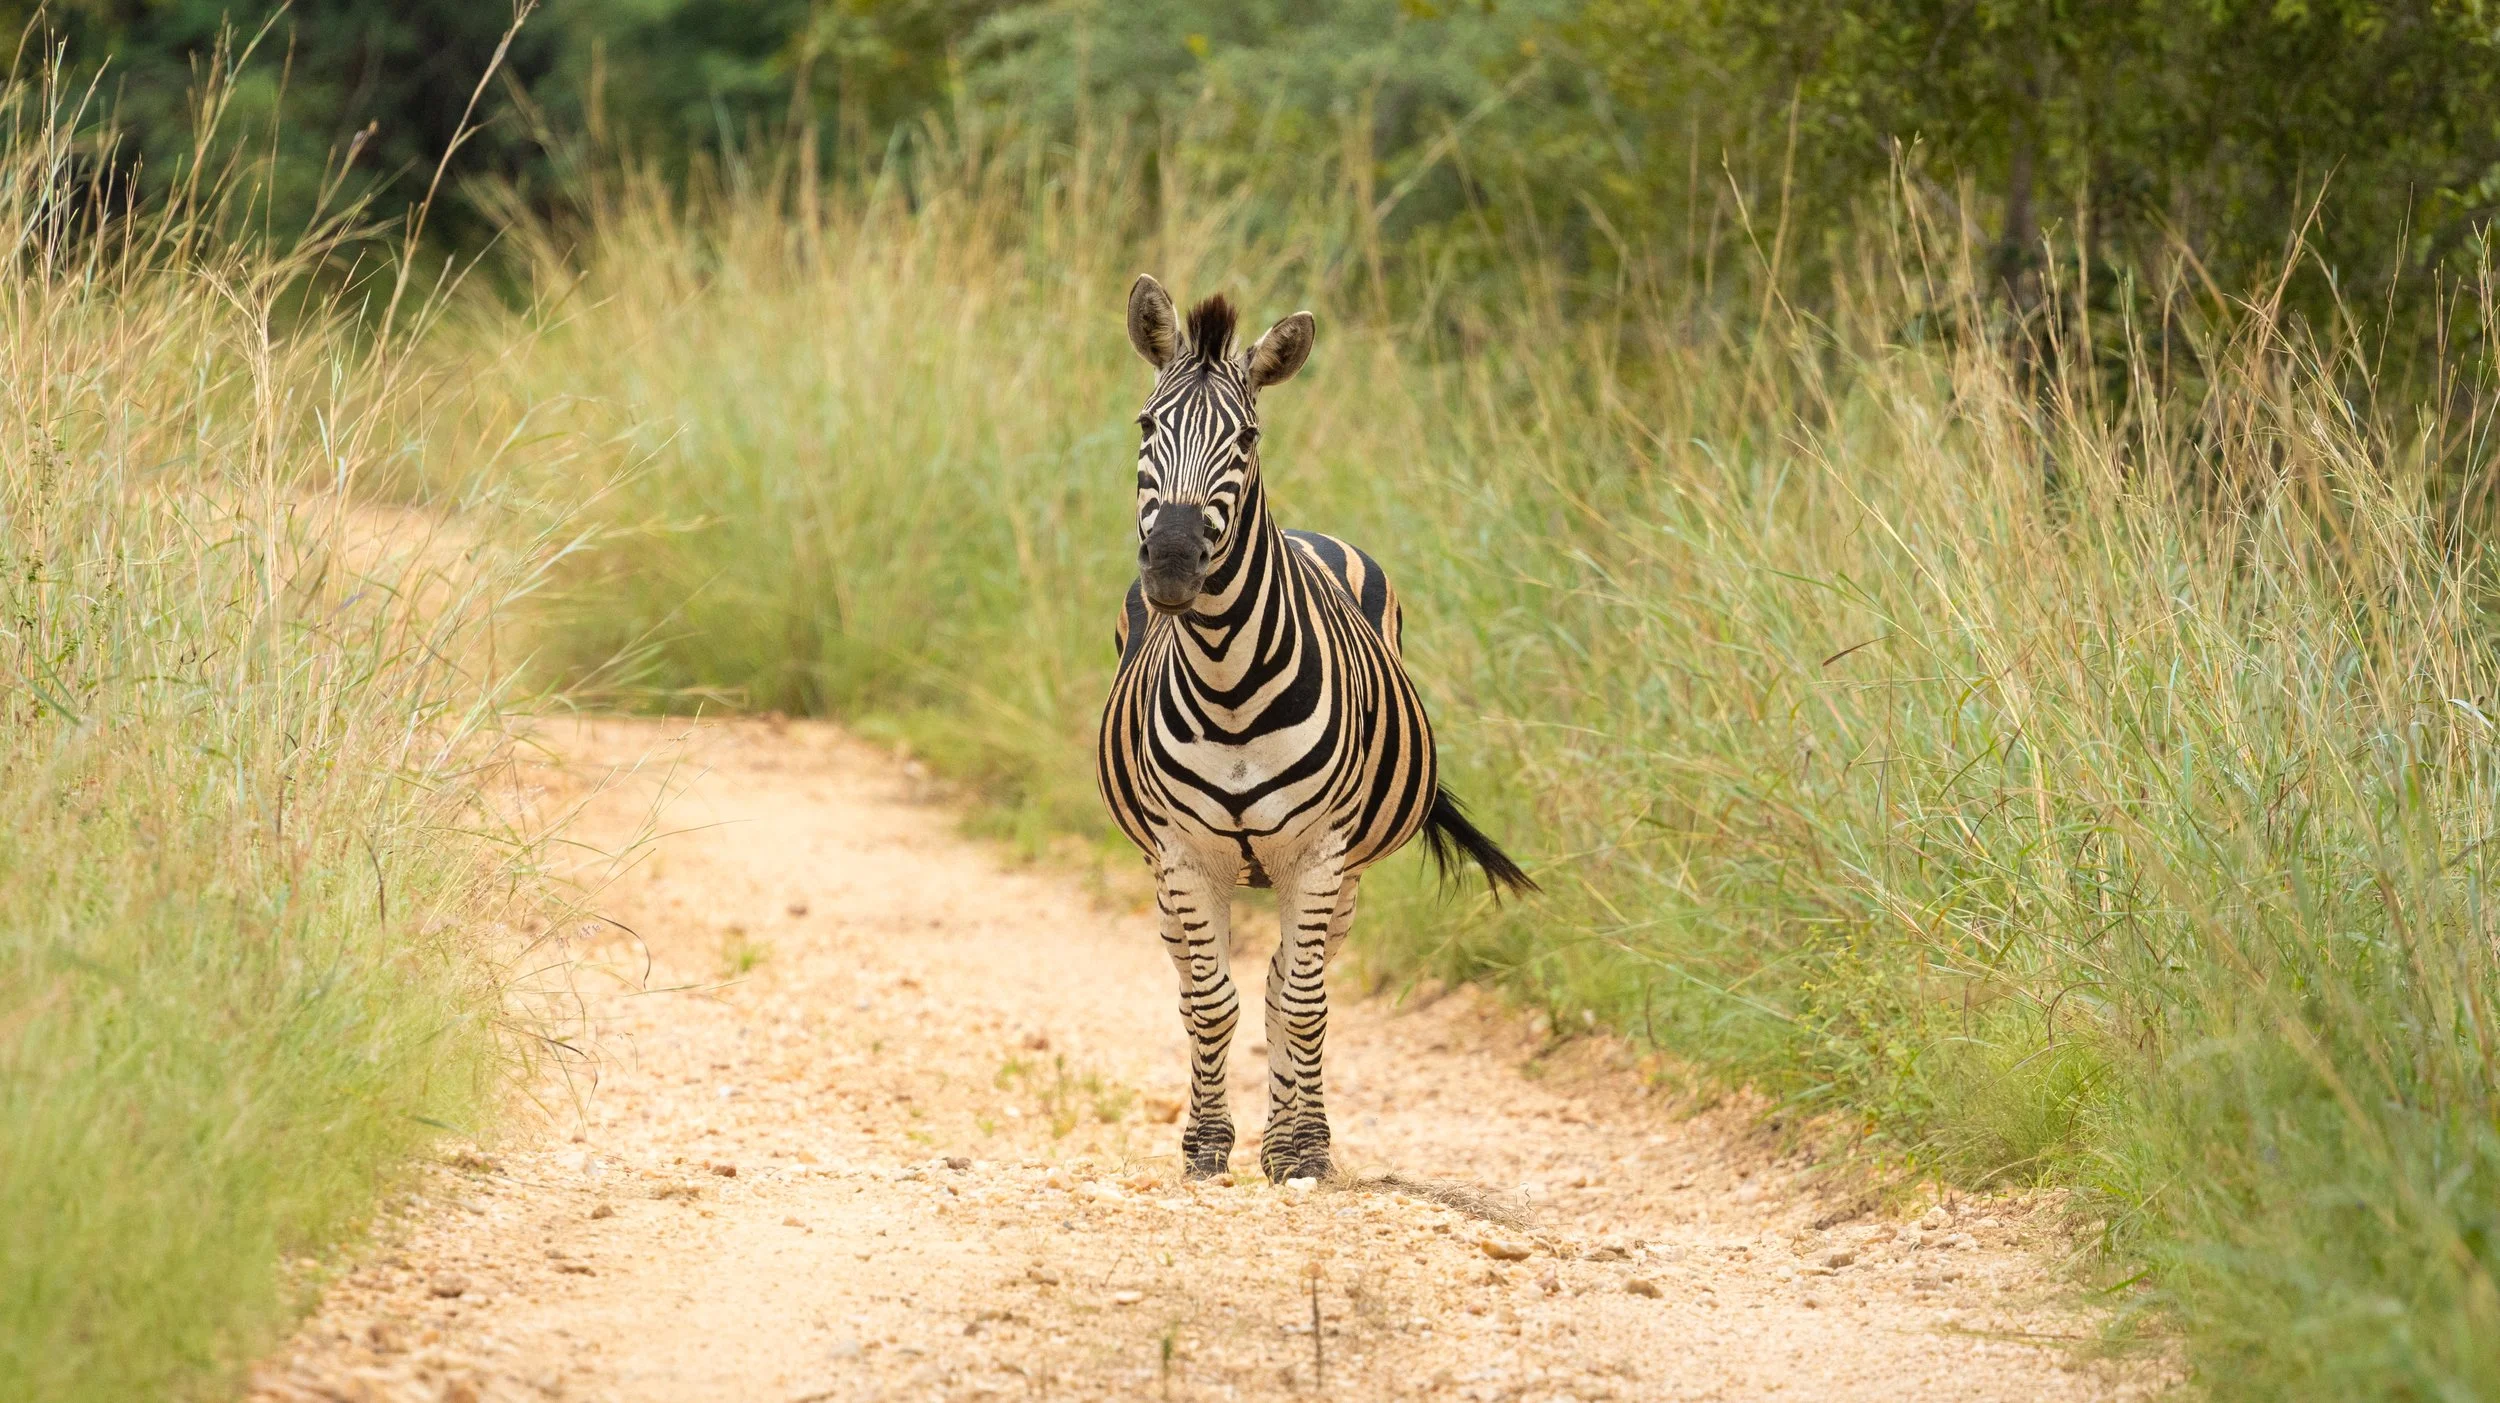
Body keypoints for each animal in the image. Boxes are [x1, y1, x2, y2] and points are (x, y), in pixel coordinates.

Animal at [1096, 275, 1537, 1184]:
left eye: (1247, 436)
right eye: (1147, 424)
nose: (1173, 566)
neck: (1227, 680)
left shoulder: (1322, 850)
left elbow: (1298, 1002)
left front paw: (1298, 1150)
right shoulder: (1183, 852)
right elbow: (1209, 1000)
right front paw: (1207, 1146)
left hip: (1344, 873)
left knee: (1291, 985)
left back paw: (1302, 1133)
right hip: (1167, 869)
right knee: (1203, 985)